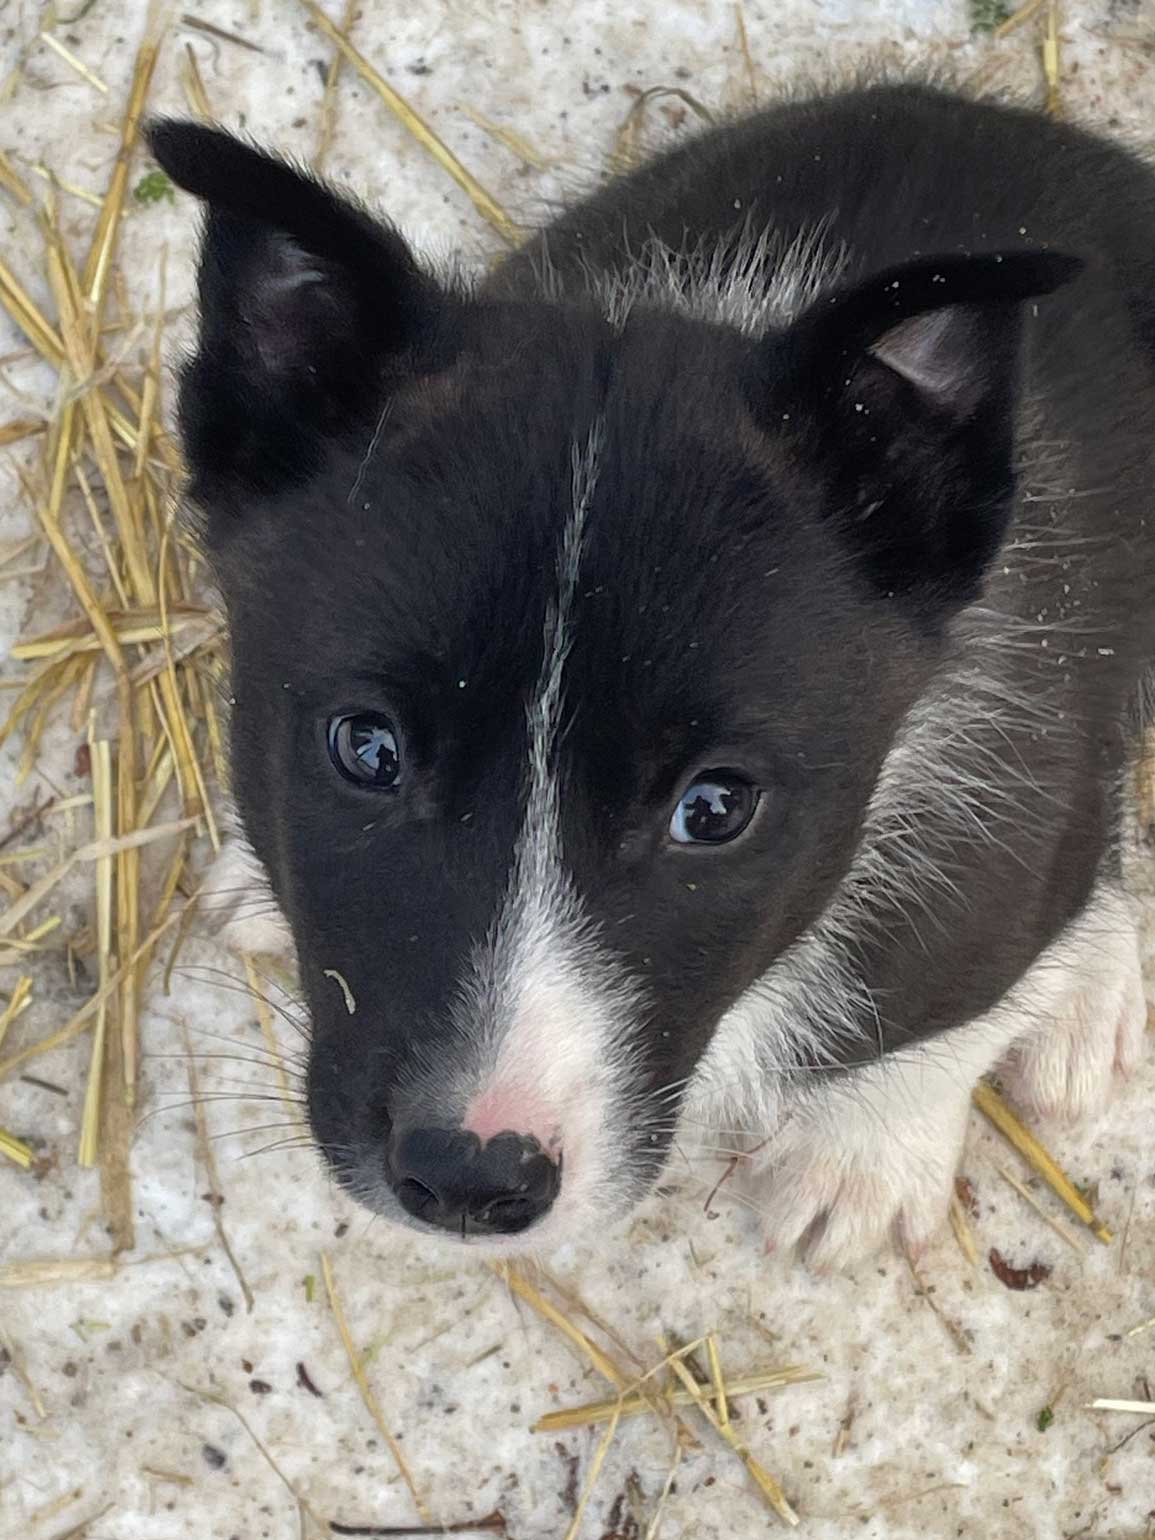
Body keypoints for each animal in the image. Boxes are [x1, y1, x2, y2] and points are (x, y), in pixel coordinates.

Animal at [150, 75, 1155, 1267]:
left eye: (713, 809)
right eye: (367, 749)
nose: (470, 1176)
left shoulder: (1013, 790)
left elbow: (957, 979)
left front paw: (862, 1156)